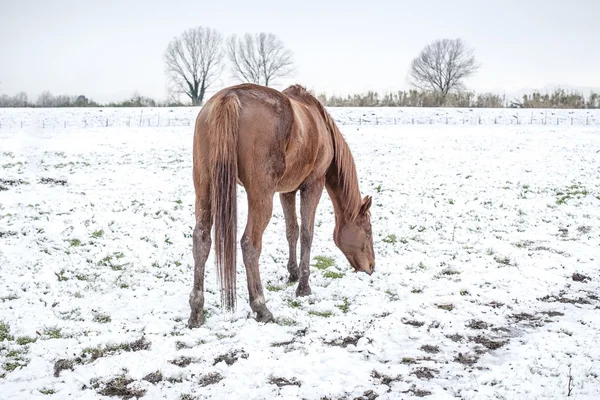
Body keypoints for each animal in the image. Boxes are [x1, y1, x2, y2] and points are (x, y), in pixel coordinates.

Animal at [188, 82, 376, 328]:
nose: (371, 267)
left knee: (201, 239)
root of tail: (229, 98)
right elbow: (306, 234)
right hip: (260, 196)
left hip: (204, 187)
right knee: (249, 244)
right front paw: (303, 287)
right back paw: (261, 308)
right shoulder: (313, 185)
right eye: (368, 231)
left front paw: (292, 273)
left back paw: (196, 311)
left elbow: (292, 231)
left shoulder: (286, 191)